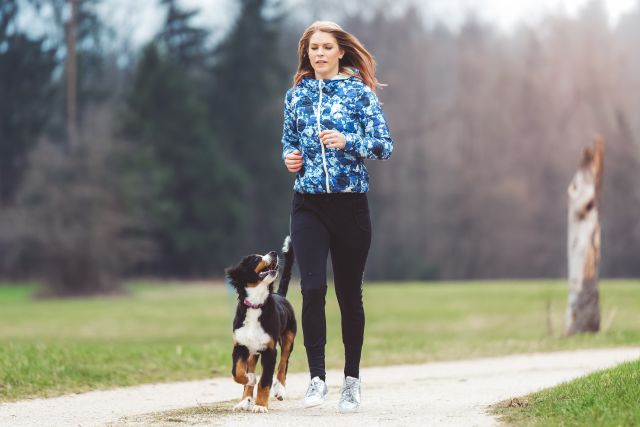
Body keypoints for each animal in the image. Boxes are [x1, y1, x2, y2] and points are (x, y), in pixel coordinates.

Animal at [224, 236, 296, 412]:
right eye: (256, 259)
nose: (274, 253)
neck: (256, 304)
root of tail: (280, 295)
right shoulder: (240, 346)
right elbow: (237, 373)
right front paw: (250, 379)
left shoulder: (270, 350)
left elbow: (265, 381)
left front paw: (261, 405)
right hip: (252, 351)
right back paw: (244, 401)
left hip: (289, 337)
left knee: (284, 363)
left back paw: (280, 389)